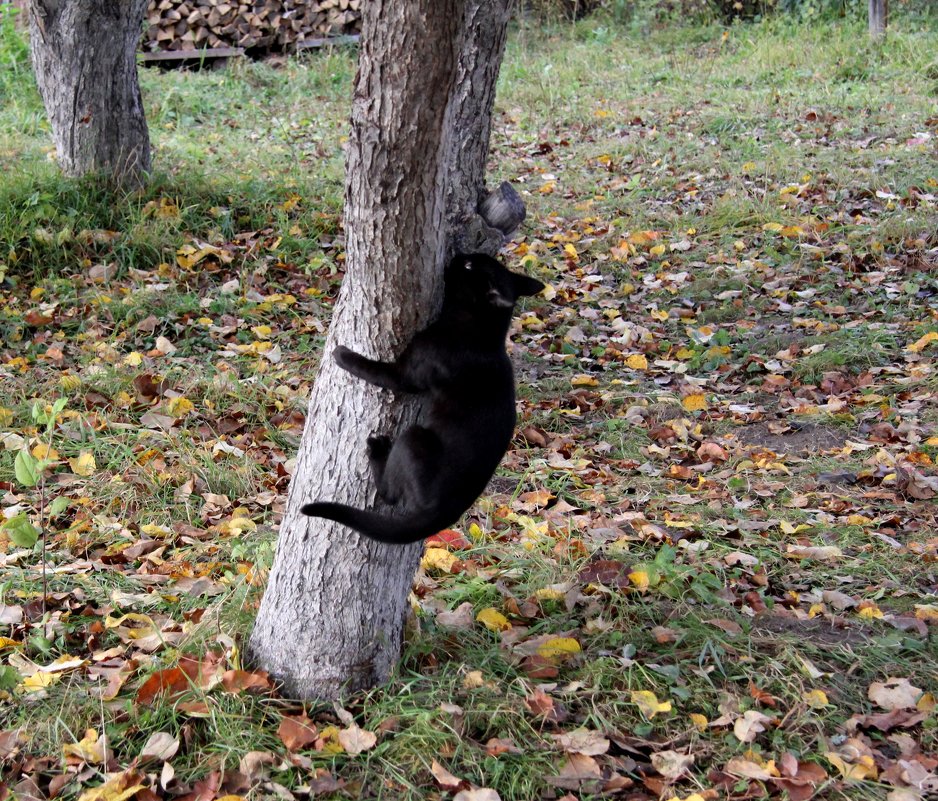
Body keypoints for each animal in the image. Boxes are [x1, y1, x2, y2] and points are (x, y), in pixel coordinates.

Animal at [304, 255, 544, 544]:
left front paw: (341, 353)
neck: (481, 333)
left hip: (413, 439)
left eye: (469, 267)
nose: (459, 256)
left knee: (389, 494)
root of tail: (446, 513)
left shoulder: (406, 374)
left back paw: (377, 448)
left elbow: (372, 369)